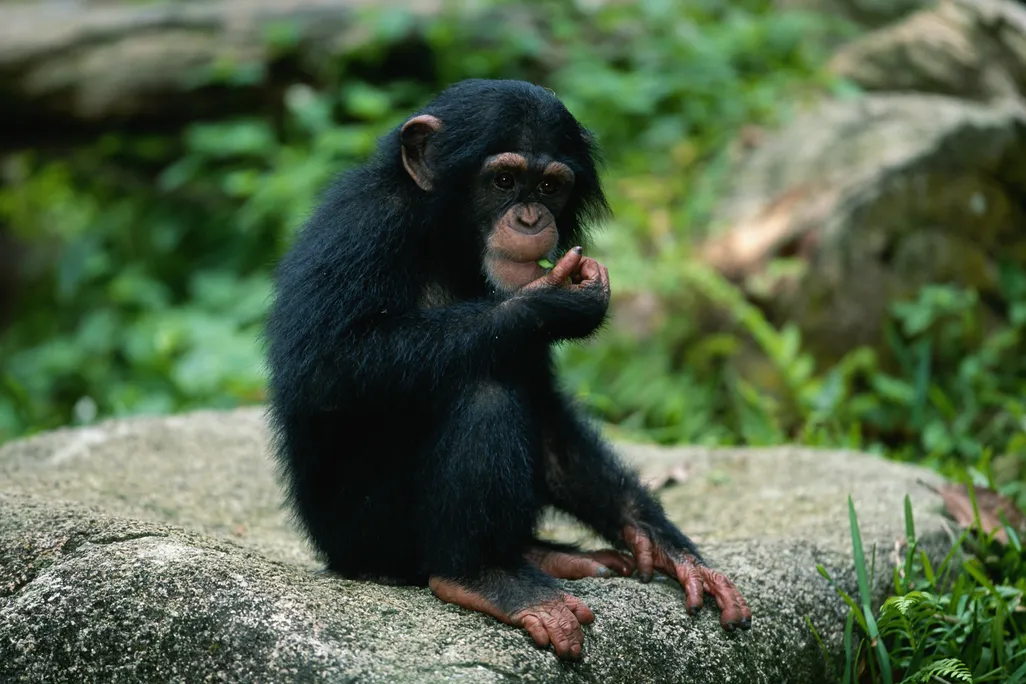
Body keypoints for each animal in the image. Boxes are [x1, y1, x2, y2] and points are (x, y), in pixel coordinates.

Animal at [265, 78, 751, 661]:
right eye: (503, 180)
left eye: (548, 186)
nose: (530, 218)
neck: (447, 242)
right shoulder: (360, 228)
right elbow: (326, 364)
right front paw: (551, 302)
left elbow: (547, 411)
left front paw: (661, 541)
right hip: (368, 537)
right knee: (483, 390)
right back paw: (487, 575)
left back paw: (544, 555)